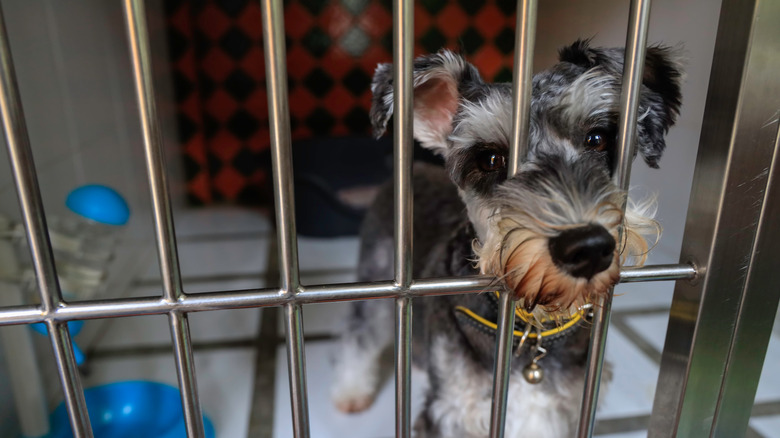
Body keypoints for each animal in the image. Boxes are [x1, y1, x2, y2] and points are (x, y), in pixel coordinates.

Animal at [330, 39, 684, 436]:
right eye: (490, 159)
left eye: (597, 138)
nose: (589, 249)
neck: (531, 329)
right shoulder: (449, 412)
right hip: (376, 281)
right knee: (358, 337)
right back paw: (350, 390)